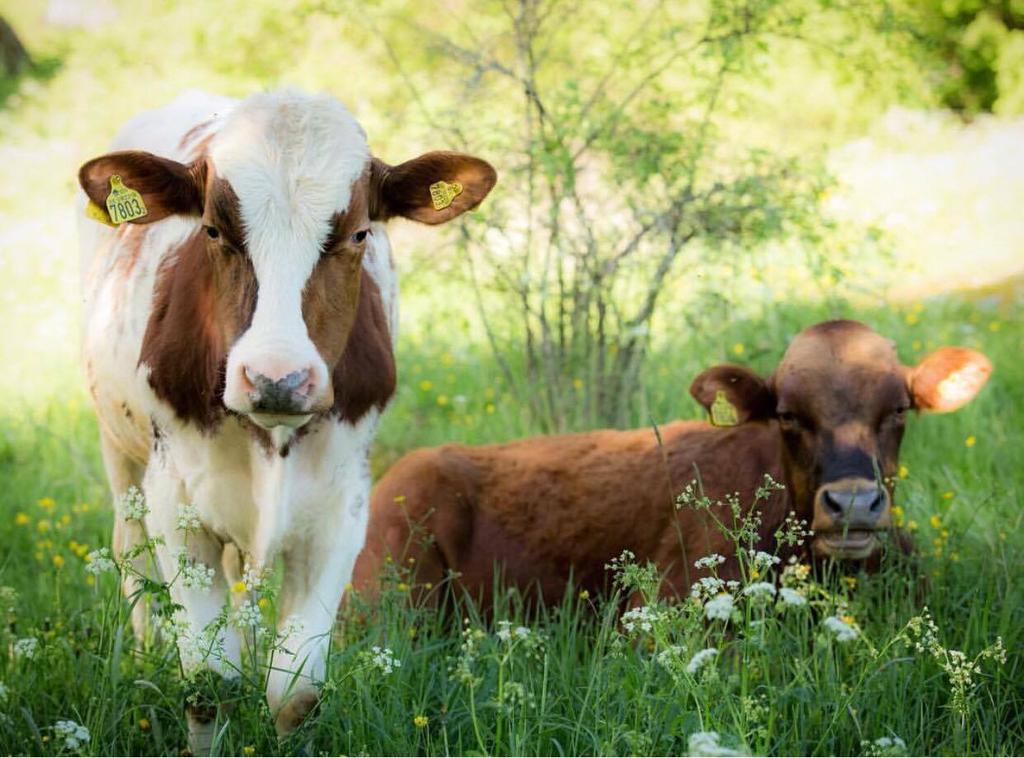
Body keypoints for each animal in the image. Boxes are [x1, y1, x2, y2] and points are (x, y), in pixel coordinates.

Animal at [77, 88, 493, 745]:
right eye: (213, 229)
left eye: (358, 234)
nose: (278, 378)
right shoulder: (177, 506)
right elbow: (208, 687)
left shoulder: (340, 512)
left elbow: (294, 693)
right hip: (121, 455)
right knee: (132, 552)